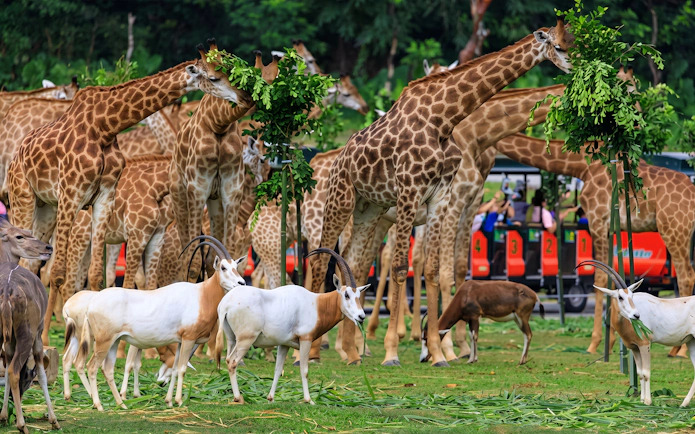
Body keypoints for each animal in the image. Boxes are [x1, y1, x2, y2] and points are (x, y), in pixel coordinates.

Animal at [8, 40, 252, 342]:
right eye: (215, 77)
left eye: (228, 71)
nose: (245, 97)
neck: (105, 126)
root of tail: (15, 158)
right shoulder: (71, 194)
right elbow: (59, 273)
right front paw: (50, 342)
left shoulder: (103, 197)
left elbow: (95, 275)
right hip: (23, 197)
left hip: (46, 208)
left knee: (29, 265)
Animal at [171, 48, 278, 281]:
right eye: (213, 77)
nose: (247, 98)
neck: (217, 125)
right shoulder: (197, 190)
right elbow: (193, 261)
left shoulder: (231, 193)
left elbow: (225, 256)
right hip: (179, 195)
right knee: (185, 256)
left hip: (215, 203)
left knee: (210, 257)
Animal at [310, 20, 573, 367]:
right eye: (557, 46)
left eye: (575, 41)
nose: (575, 67)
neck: (445, 120)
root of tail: (335, 159)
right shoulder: (412, 190)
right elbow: (402, 268)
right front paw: (394, 351)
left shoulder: (441, 198)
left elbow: (434, 270)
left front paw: (437, 352)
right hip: (341, 200)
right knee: (320, 261)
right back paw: (310, 349)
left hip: (370, 210)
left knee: (352, 265)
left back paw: (352, 352)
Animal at [494, 132, 695, 357]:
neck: (581, 165)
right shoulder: (609, 228)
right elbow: (610, 277)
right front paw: (611, 340)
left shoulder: (597, 221)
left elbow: (598, 278)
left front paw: (594, 343)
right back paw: (676, 348)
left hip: (673, 229)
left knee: (685, 275)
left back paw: (680, 350)